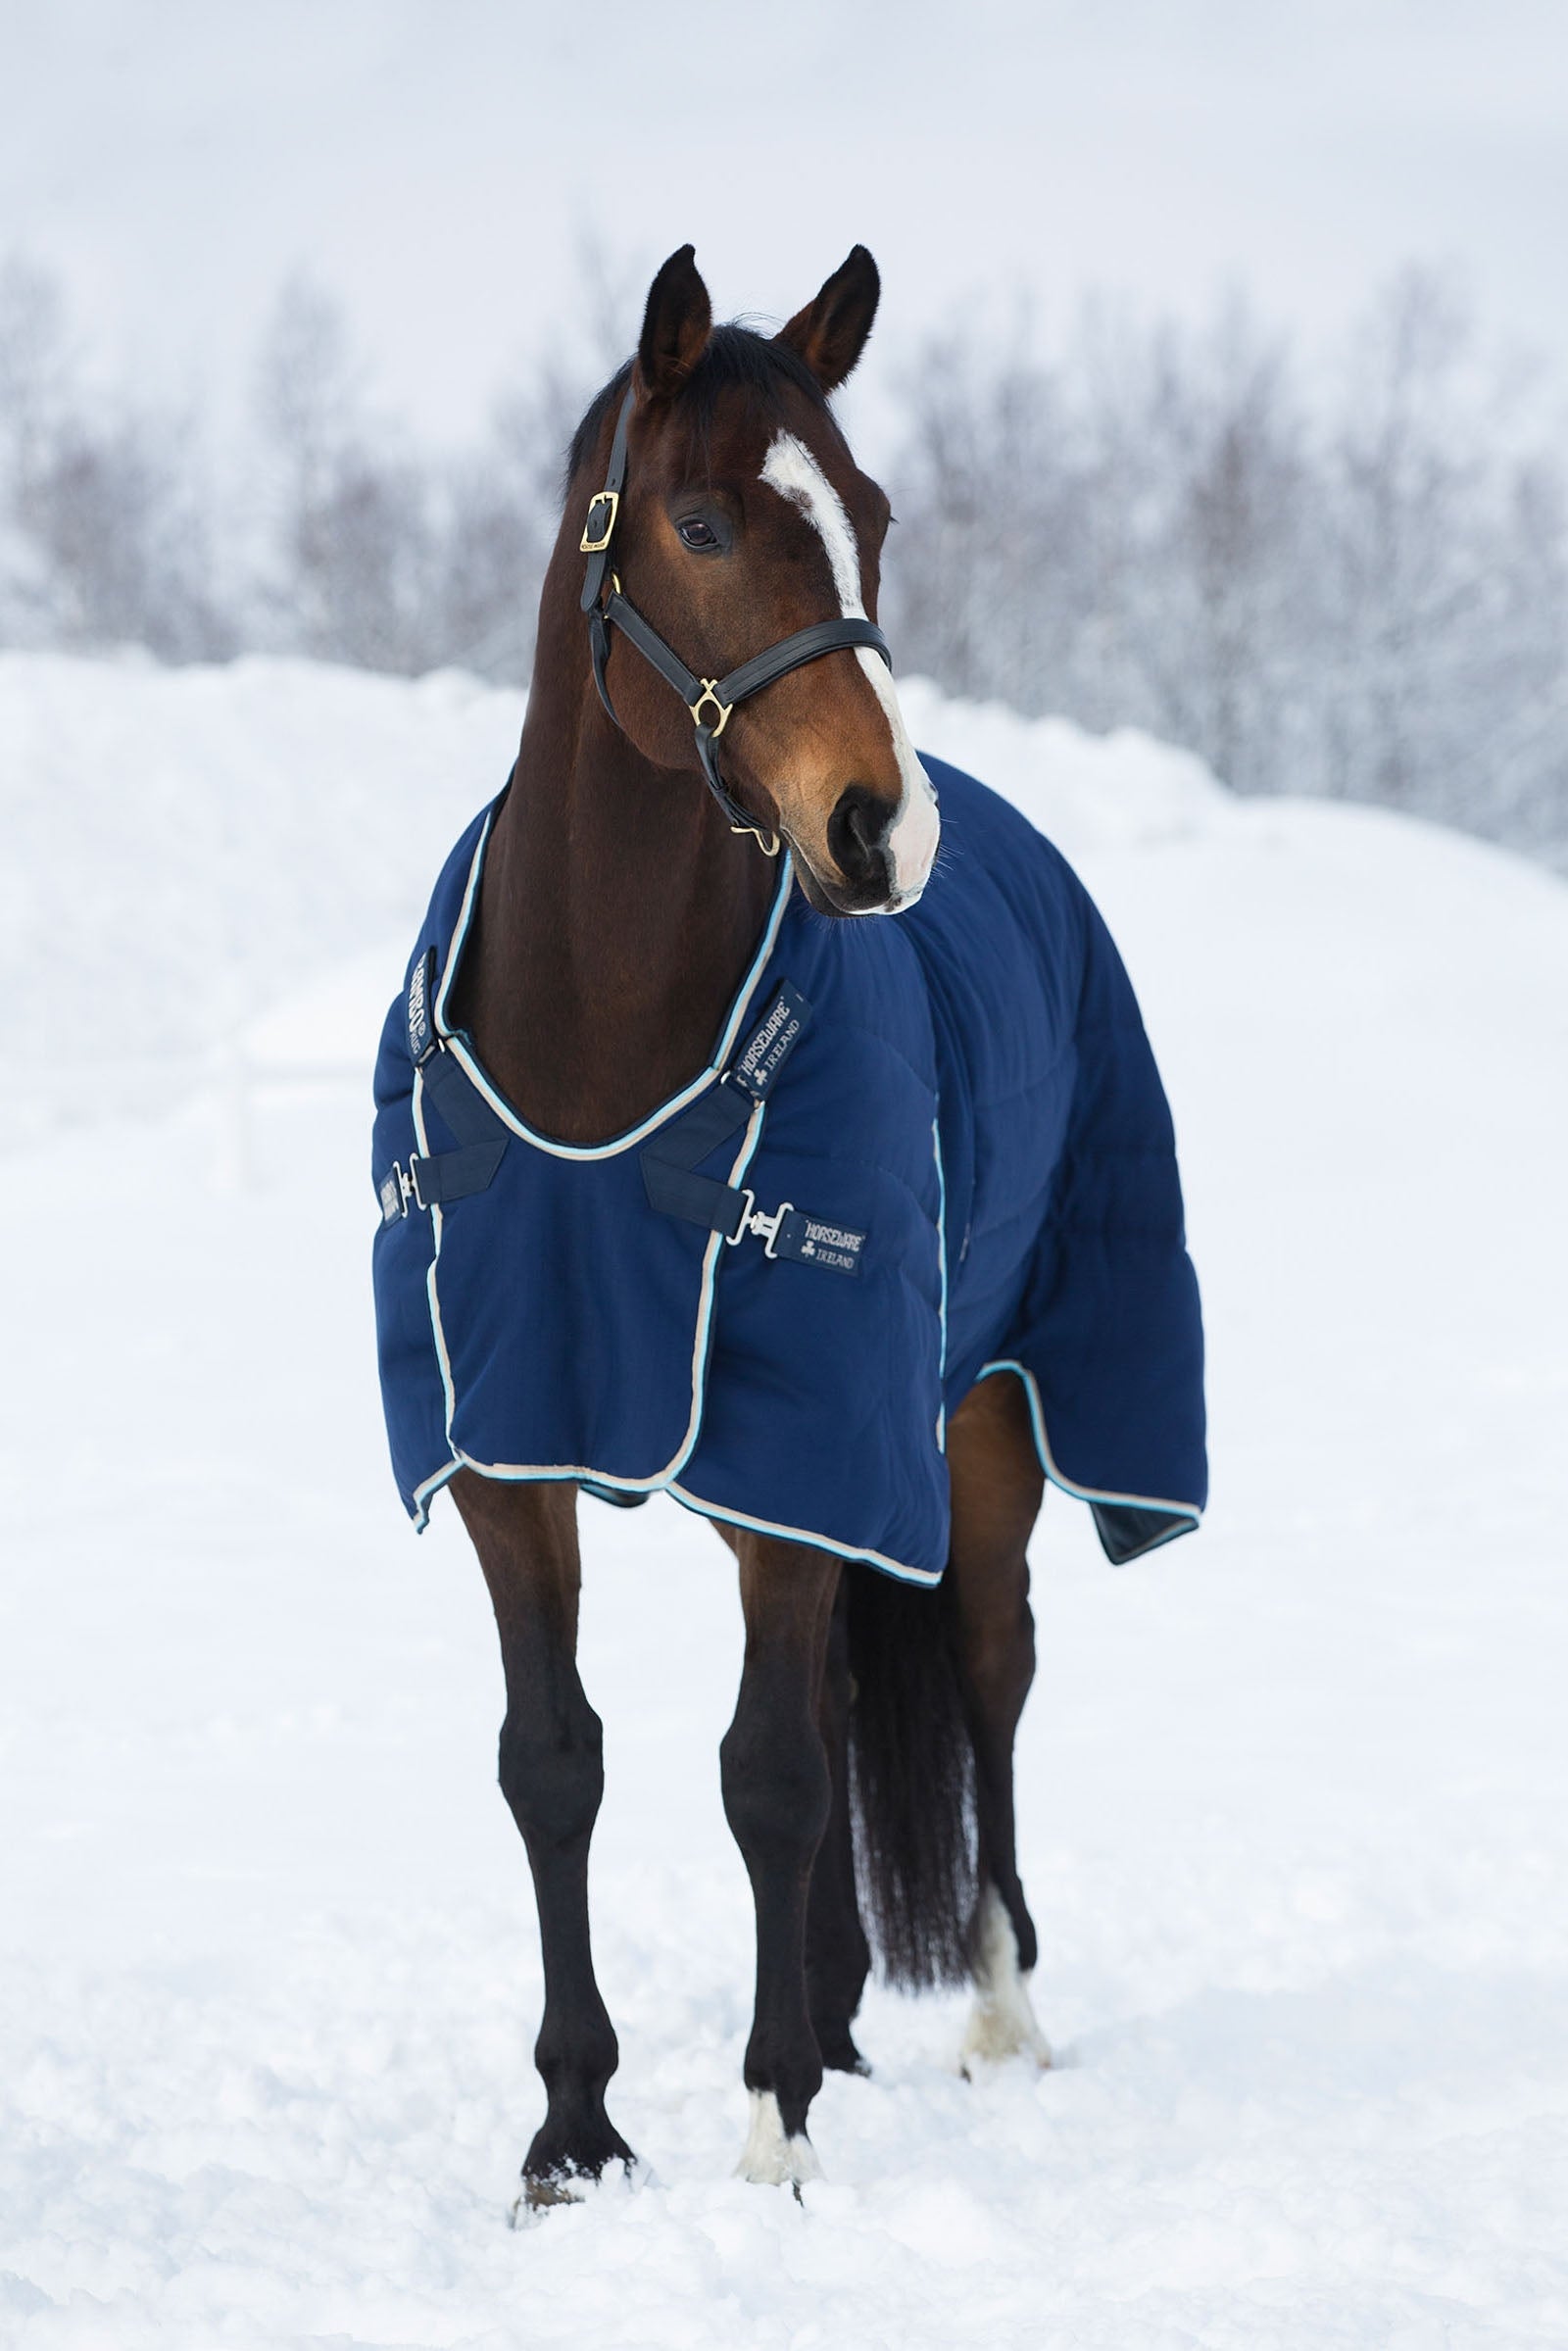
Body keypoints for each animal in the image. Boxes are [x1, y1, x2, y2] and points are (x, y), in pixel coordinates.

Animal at [371, 244, 1206, 2209]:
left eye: (871, 514)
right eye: (694, 519)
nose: (877, 825)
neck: (600, 1037)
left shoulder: (806, 1442)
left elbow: (763, 1771)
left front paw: (767, 2134)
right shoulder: (513, 1445)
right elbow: (557, 1761)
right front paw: (575, 2134)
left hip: (977, 1419)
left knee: (986, 1672)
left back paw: (990, 2013)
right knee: (837, 1712)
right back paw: (831, 2017)